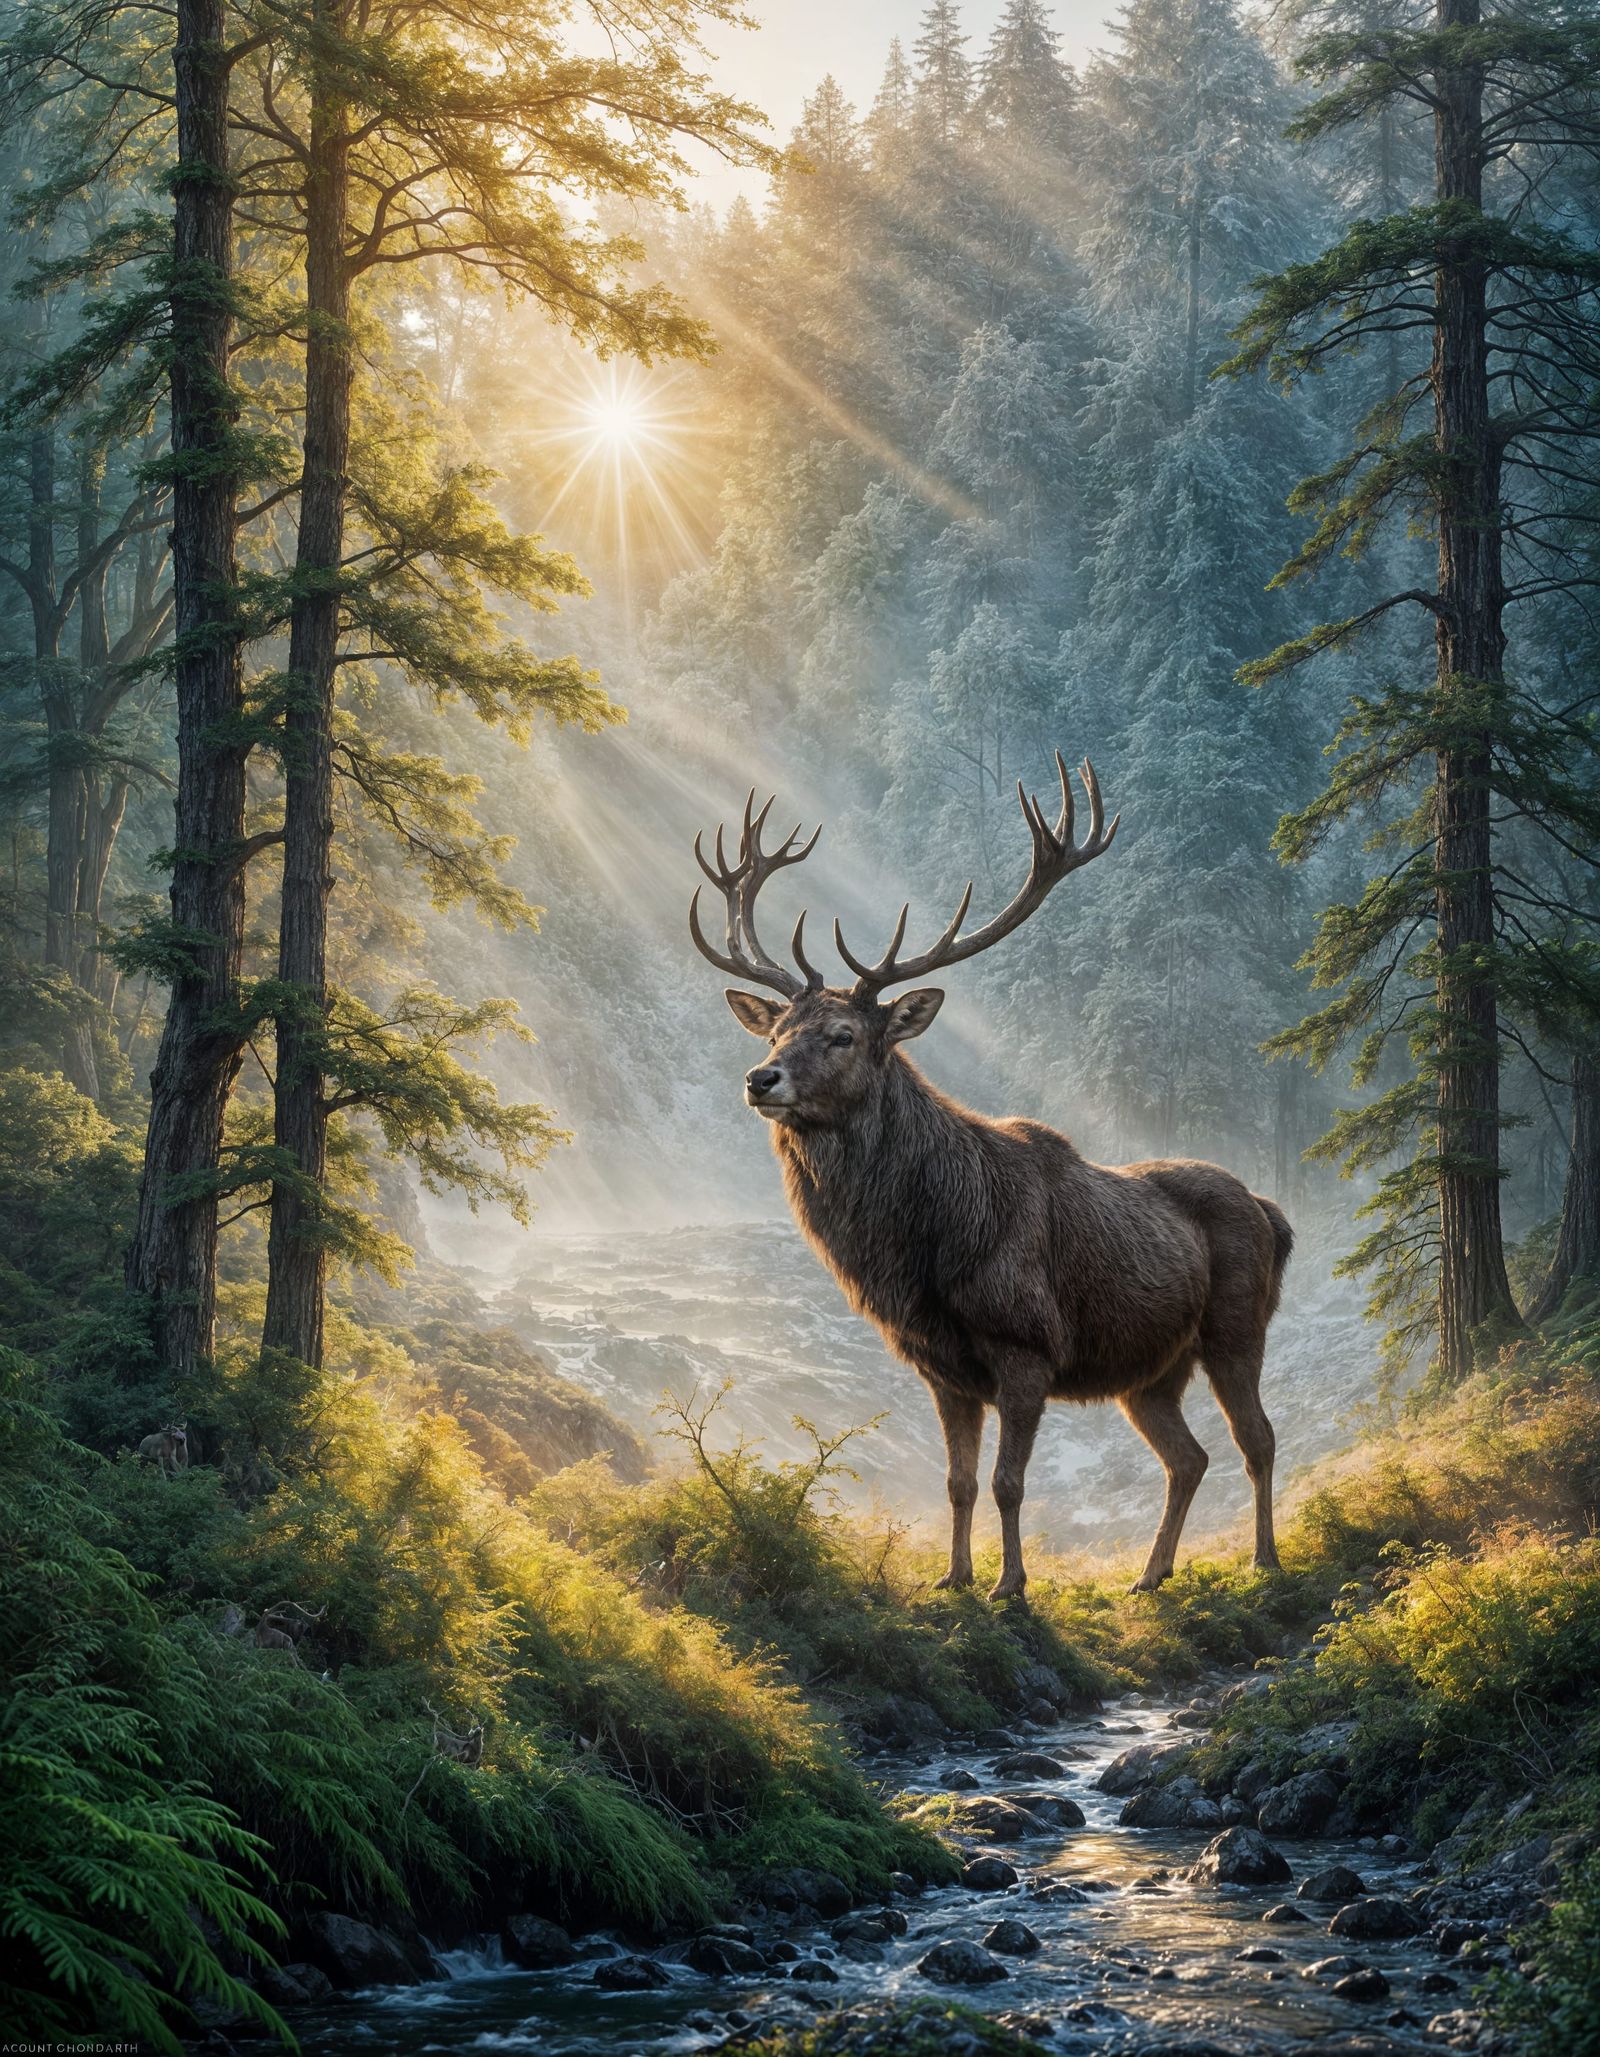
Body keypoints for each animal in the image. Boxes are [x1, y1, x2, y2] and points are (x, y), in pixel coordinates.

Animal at [689, 755, 1292, 1601]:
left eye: (842, 1035)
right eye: (775, 1028)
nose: (760, 1078)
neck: (926, 1251)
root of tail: (1272, 1212)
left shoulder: (1026, 1342)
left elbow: (1009, 1482)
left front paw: (1011, 1584)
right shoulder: (942, 1367)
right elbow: (959, 1482)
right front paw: (954, 1577)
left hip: (1237, 1325)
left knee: (1257, 1438)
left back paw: (1266, 1558)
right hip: (1150, 1370)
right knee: (1188, 1455)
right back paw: (1151, 1573)